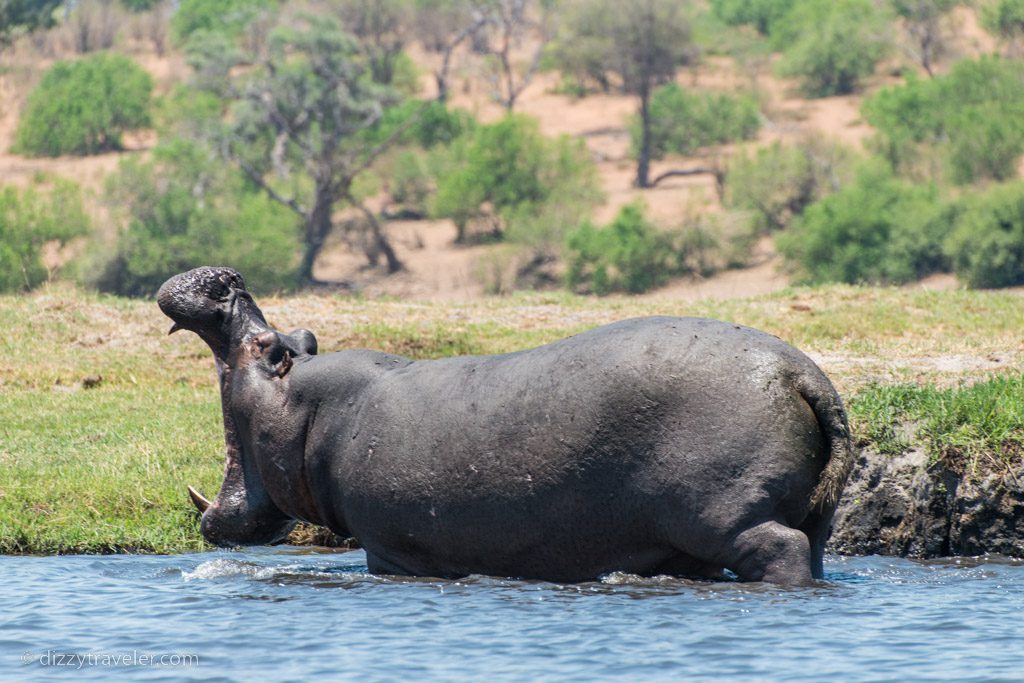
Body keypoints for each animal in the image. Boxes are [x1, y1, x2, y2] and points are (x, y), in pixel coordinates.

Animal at [155, 266, 851, 581]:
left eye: (270, 345)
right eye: (301, 336)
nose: (227, 281)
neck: (314, 412)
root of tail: (802, 372)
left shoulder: (391, 550)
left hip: (723, 514)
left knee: (778, 548)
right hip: (798, 515)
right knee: (811, 546)